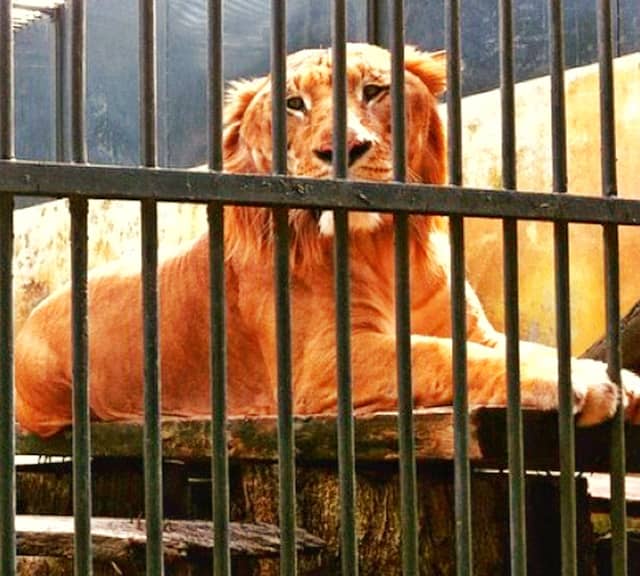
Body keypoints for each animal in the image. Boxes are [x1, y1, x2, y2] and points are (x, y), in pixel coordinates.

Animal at [12, 42, 640, 436]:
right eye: (294, 104)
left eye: (375, 91)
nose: (342, 150)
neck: (384, 248)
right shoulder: (321, 363)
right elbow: (438, 355)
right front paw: (579, 381)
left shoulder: (472, 329)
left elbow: (518, 345)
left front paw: (618, 377)